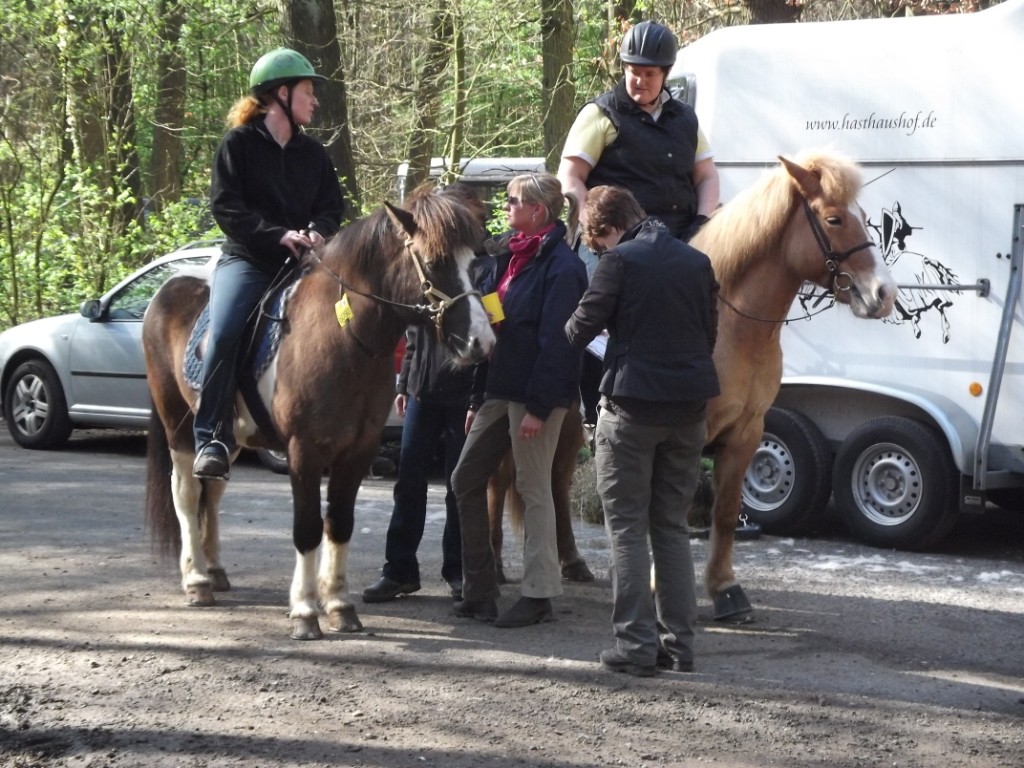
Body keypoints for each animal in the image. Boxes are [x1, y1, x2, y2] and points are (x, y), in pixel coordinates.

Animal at [144, 189, 495, 638]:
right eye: (434, 262)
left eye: (475, 262)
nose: (481, 342)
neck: (342, 336)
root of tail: (167, 288)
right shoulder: (304, 450)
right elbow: (308, 527)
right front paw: (305, 610)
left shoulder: (358, 450)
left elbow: (340, 523)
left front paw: (340, 604)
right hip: (179, 425)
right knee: (187, 494)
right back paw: (197, 580)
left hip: (229, 436)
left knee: (213, 491)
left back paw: (216, 570)